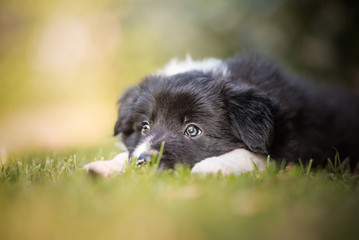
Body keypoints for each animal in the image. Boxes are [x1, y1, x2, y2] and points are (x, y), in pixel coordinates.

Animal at [83, 55, 359, 177]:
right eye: (144, 127)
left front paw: (213, 166)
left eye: (193, 130)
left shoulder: (294, 149)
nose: (145, 161)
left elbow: (251, 155)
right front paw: (105, 166)